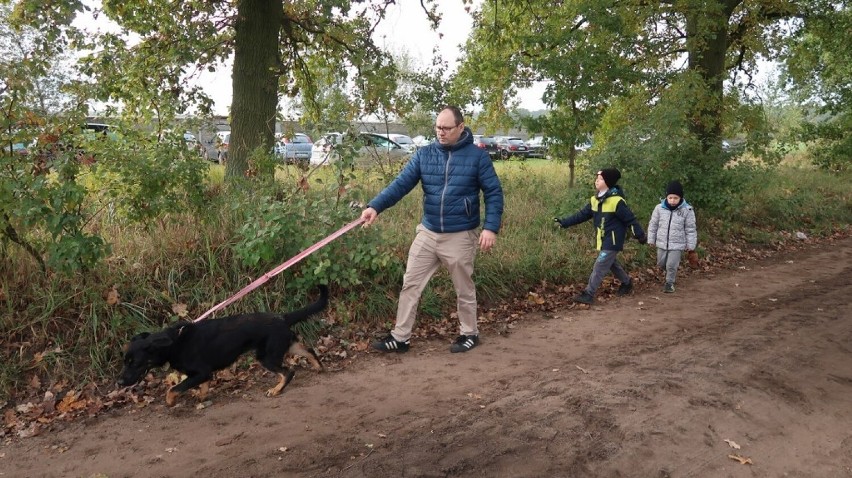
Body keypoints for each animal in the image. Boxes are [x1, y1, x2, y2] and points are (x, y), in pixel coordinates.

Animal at [119, 286, 330, 406]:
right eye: (125, 361)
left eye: (134, 362)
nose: (119, 383)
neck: (174, 343)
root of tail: (282, 317)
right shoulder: (203, 374)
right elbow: (202, 386)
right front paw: (202, 397)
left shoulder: (201, 371)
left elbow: (174, 389)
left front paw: (170, 401)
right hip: (283, 345)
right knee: (308, 350)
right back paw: (318, 367)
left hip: (266, 356)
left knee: (289, 371)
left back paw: (276, 389)